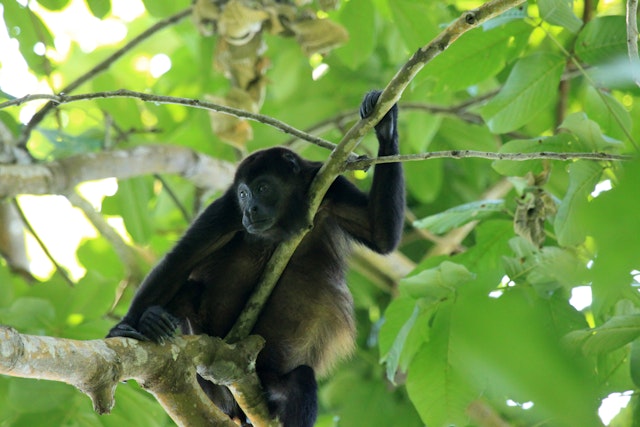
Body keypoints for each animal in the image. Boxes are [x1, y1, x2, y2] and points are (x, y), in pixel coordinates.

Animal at [106, 89, 404, 424]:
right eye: (244, 193)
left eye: (263, 188)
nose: (250, 210)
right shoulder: (225, 210)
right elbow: (180, 261)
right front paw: (124, 327)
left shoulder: (330, 187)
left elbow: (380, 235)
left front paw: (386, 126)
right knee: (188, 291)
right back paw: (154, 322)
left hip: (274, 377)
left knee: (302, 378)